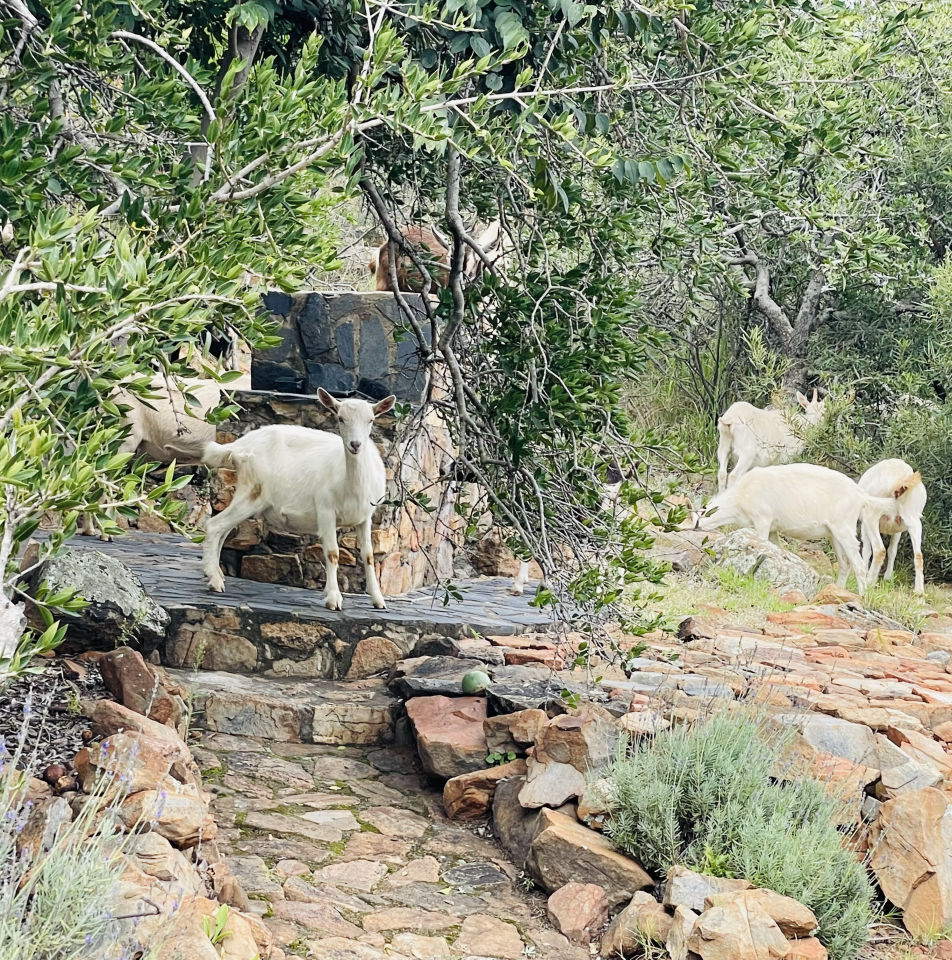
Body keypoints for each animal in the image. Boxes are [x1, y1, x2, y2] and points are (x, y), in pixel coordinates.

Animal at [194, 389, 396, 610]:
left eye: (371, 420)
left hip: (246, 494)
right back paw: (214, 580)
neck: (351, 484)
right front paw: (333, 599)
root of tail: (239, 446)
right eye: (340, 418)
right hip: (252, 492)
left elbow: (368, 556)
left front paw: (378, 600)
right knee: (215, 525)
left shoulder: (365, 517)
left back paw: (216, 573)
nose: (356, 445)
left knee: (224, 530)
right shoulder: (326, 510)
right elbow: (332, 553)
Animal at [693, 463, 895, 591]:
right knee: (845, 564)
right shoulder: (773, 528)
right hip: (834, 533)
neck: (739, 498)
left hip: (844, 528)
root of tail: (861, 496)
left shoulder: (762, 520)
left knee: (859, 565)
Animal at [857, 458, 926, 594]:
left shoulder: (865, 524)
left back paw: (869, 583)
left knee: (879, 550)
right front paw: (888, 578)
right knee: (918, 555)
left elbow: (867, 549)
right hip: (913, 519)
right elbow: (892, 550)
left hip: (873, 512)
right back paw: (919, 591)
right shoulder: (897, 530)